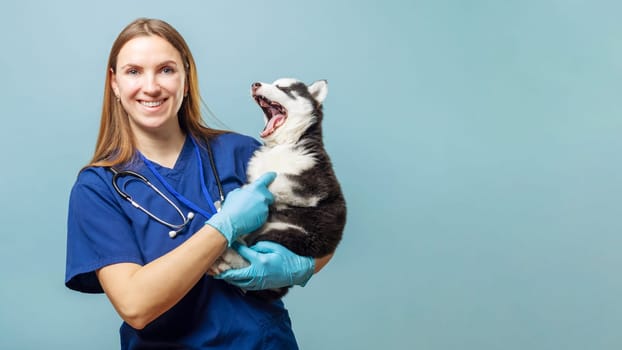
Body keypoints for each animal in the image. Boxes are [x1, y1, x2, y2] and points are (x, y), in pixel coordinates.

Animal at [213, 78, 348, 300]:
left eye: (284, 88)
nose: (255, 84)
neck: (282, 145)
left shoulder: (313, 184)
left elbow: (276, 181)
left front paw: (242, 197)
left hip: (287, 235)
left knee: (252, 264)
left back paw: (228, 257)